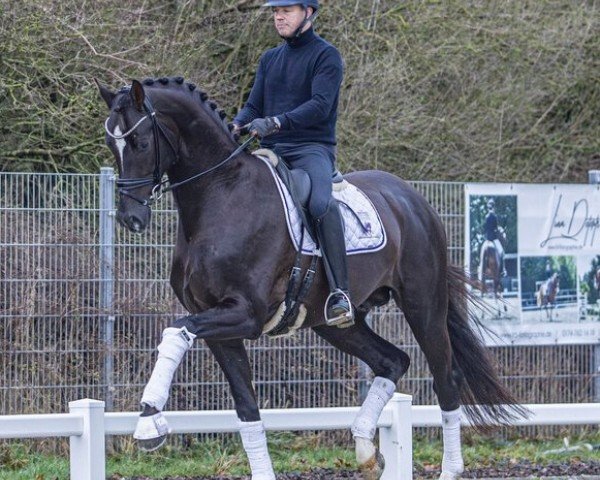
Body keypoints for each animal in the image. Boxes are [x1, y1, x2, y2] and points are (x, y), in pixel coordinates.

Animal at [97, 78, 520, 480]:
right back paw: (366, 451)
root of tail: (413, 200)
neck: (221, 195)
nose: (132, 218)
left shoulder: (245, 314)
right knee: (393, 361)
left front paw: (149, 422)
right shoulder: (220, 328)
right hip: (335, 323)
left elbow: (175, 331)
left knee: (446, 378)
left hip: (423, 306)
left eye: (139, 140)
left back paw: (449, 468)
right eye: (110, 144)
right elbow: (245, 406)